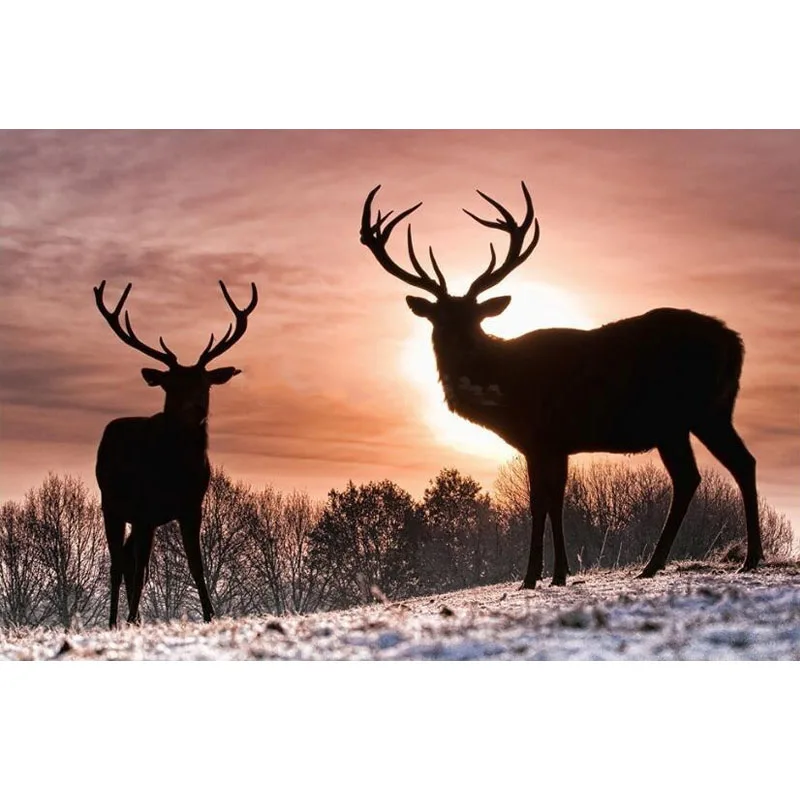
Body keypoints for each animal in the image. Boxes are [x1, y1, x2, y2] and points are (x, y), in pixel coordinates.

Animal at [94, 279, 258, 627]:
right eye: (172, 385)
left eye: (205, 383)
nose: (196, 408)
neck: (175, 471)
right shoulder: (143, 507)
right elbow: (140, 569)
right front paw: (130, 619)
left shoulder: (191, 506)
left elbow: (196, 564)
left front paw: (210, 615)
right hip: (111, 504)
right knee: (119, 563)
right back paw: (116, 621)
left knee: (127, 559)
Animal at [360, 183, 763, 589]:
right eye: (439, 319)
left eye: (475, 318)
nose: (463, 346)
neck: (505, 388)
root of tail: (735, 342)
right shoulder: (558, 443)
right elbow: (557, 500)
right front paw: (560, 573)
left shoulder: (541, 437)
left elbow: (539, 502)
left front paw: (533, 576)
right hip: (712, 411)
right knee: (738, 462)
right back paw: (747, 558)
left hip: (676, 416)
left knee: (691, 476)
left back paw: (661, 564)